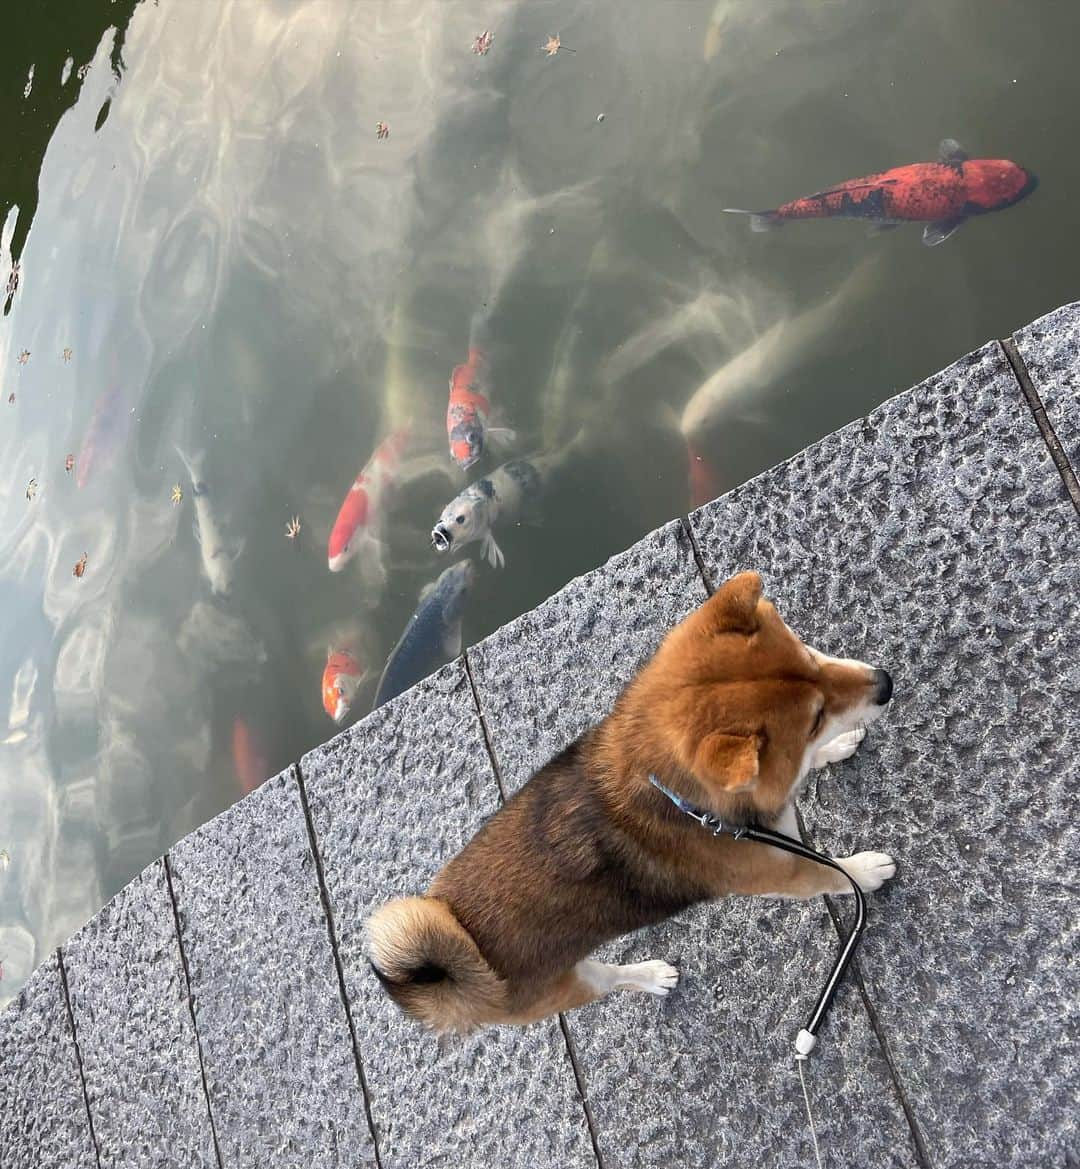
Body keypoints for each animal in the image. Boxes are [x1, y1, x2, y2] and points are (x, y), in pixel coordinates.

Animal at [369, 575, 892, 1033]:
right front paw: (865, 870)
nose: (885, 682)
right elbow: (832, 875)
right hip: (568, 985)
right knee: (612, 981)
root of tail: (447, 980)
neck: (684, 801)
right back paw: (650, 976)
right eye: (814, 718)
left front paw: (836, 748)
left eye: (810, 655)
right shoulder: (783, 873)